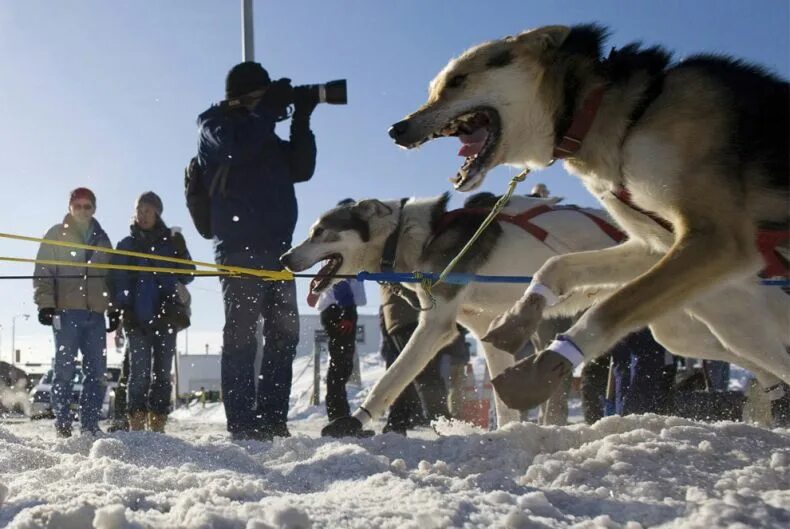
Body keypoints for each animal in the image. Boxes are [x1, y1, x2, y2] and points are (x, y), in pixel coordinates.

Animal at [390, 22, 790, 416]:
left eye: (458, 80)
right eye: (434, 89)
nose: (396, 129)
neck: (622, 115)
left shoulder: (717, 240)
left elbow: (611, 309)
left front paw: (543, 367)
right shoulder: (655, 245)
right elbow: (557, 266)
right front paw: (518, 317)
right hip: (733, 328)